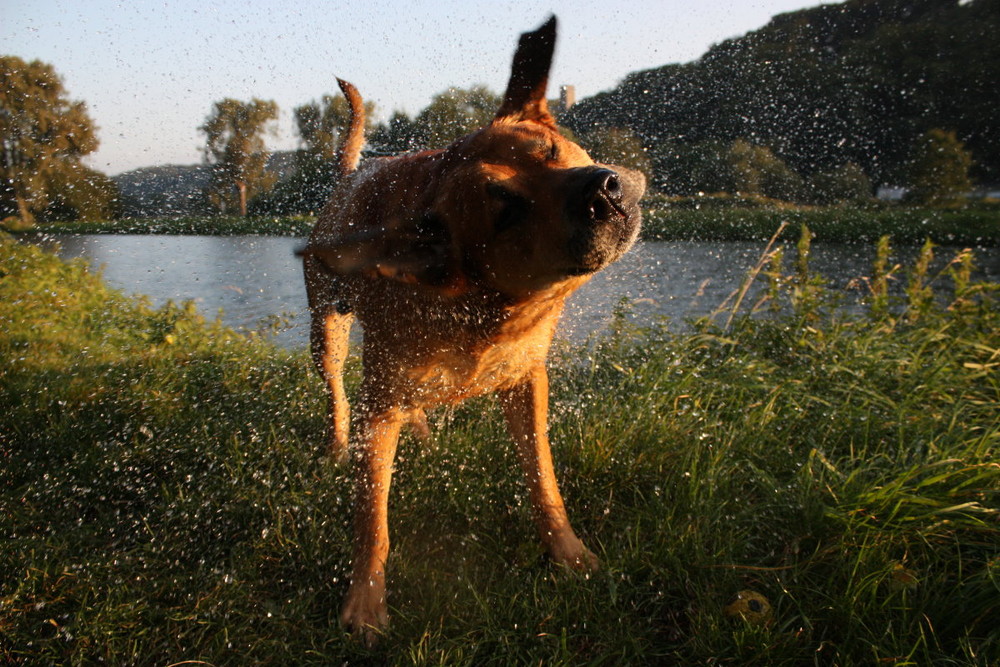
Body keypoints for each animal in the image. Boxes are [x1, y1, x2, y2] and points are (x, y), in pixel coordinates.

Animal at [300, 15, 644, 640]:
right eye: (505, 210)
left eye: (552, 150)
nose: (604, 189)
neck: (481, 307)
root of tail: (349, 176)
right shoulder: (378, 404)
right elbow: (372, 518)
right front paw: (365, 603)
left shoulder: (527, 382)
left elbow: (543, 478)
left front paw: (570, 554)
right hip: (328, 331)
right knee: (338, 389)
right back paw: (340, 441)